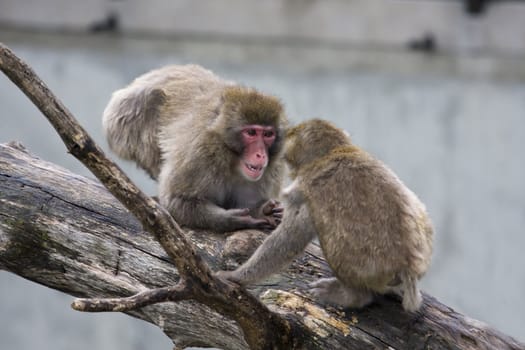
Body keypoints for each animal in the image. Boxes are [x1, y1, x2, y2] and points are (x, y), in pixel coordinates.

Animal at [102, 63, 286, 232]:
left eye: (268, 134)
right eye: (252, 132)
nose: (260, 154)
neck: (230, 158)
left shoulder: (271, 171)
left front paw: (260, 210)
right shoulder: (197, 155)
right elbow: (175, 201)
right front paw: (228, 220)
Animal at [217, 119, 434, 310]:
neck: (332, 153)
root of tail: (409, 269)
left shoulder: (305, 190)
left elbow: (289, 239)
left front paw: (236, 277)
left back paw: (353, 296)